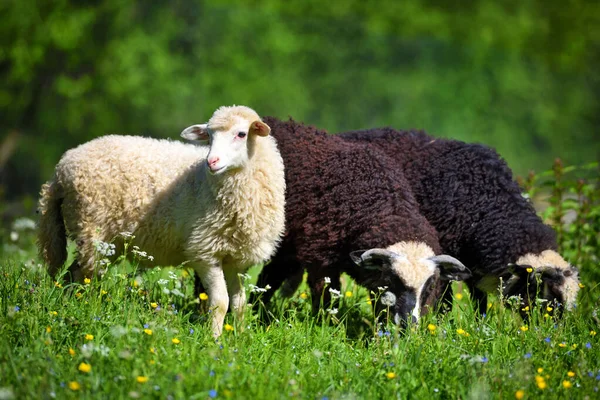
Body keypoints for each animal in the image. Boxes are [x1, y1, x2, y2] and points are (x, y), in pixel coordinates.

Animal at [37, 104, 286, 336]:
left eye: (241, 134)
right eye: (209, 135)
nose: (211, 161)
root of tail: (61, 169)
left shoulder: (234, 257)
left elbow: (239, 303)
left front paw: (240, 337)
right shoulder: (204, 251)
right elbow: (220, 303)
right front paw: (214, 340)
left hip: (106, 243)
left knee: (74, 274)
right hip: (92, 230)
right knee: (81, 275)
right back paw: (82, 309)